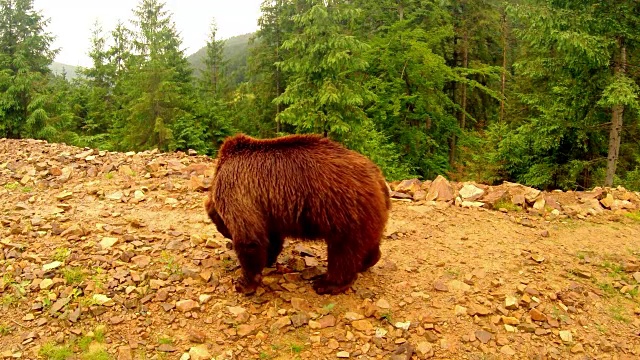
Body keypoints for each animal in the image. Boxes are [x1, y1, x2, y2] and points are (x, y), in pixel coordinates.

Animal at [205, 132, 390, 296]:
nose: (228, 240)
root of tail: (378, 177)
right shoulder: (269, 210)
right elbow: (272, 238)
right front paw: (267, 260)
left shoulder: (238, 189)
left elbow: (249, 239)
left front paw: (244, 283)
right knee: (367, 240)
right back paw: (368, 261)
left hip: (342, 208)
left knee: (343, 250)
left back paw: (327, 284)